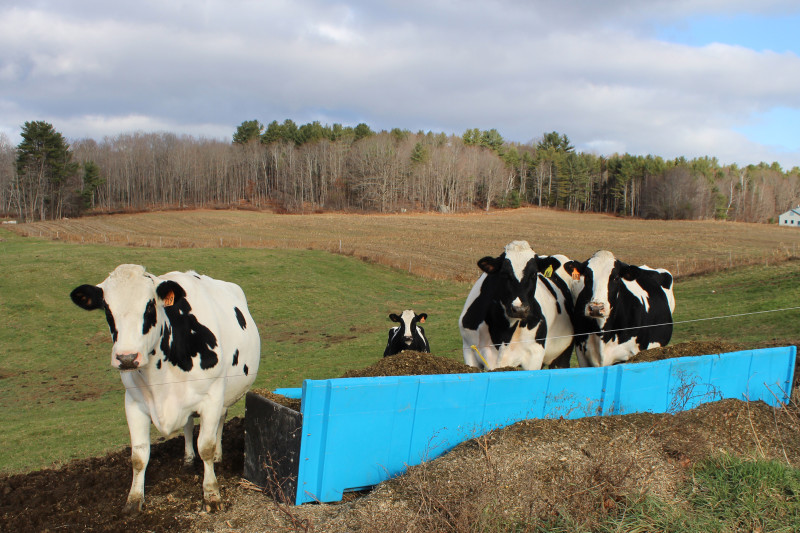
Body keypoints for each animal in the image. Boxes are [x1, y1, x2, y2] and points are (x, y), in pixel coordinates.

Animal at [70, 264, 260, 512]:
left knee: (220, 420)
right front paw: (134, 500)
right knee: (188, 425)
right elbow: (139, 455)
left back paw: (219, 456)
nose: (127, 358)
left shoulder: (212, 397)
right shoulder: (134, 403)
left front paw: (211, 493)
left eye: (150, 307)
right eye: (107, 310)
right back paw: (188, 459)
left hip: (225, 393)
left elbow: (206, 447)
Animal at [456, 241, 576, 370]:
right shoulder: (470, 352)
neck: (502, 335)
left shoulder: (534, 356)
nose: (519, 309)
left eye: (534, 274)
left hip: (564, 353)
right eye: (504, 274)